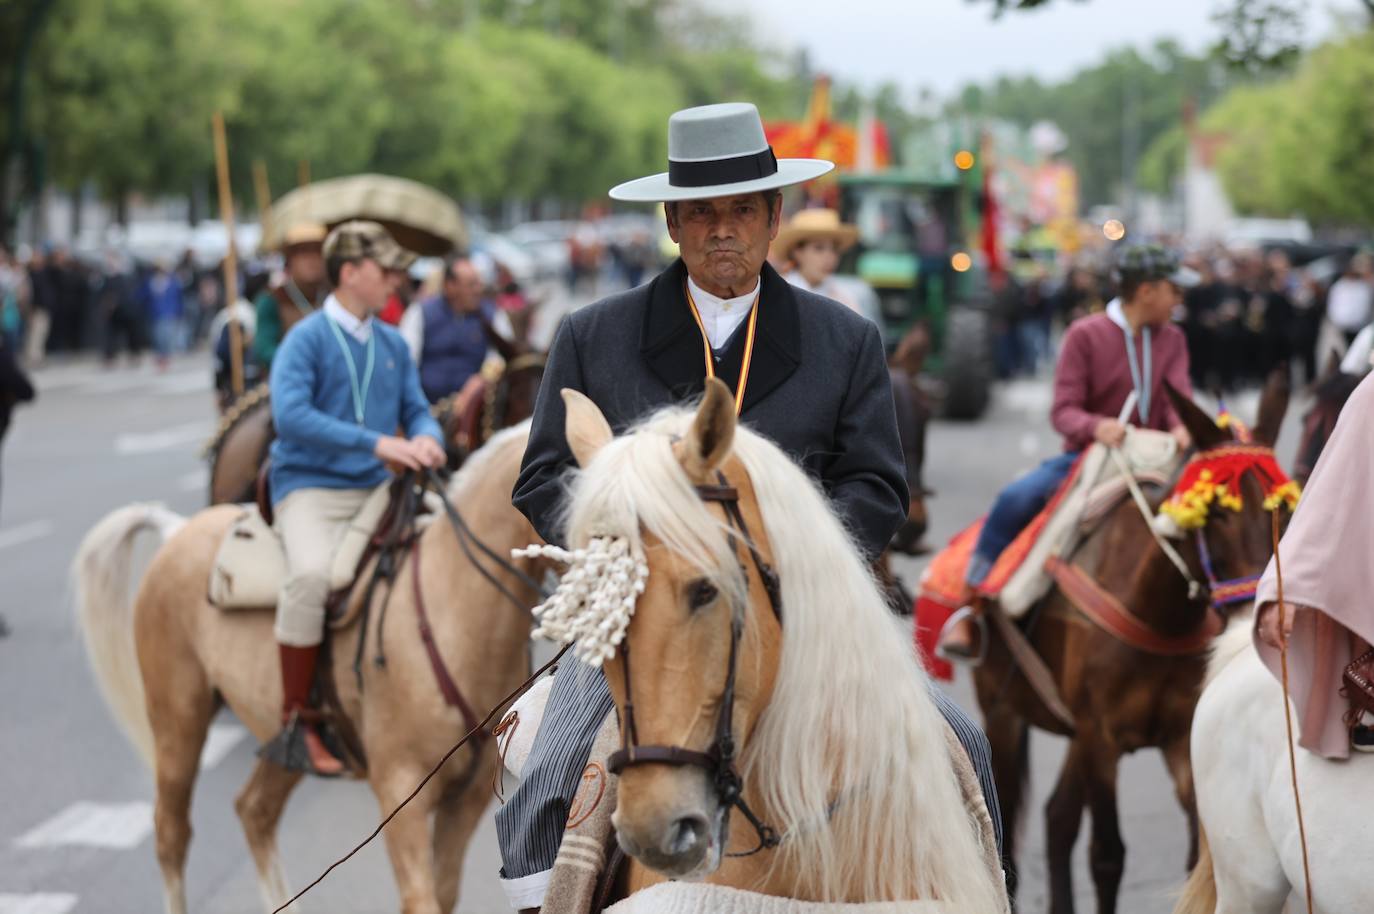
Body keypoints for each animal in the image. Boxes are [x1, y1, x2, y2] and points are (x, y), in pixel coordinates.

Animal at [73, 426, 546, 912]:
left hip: (279, 739)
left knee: (255, 810)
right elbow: (422, 899)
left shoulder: (465, 803)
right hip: (178, 724)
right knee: (172, 833)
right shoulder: (401, 794)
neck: (448, 608)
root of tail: (176, 531)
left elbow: (445, 893)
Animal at [972, 373, 1291, 912]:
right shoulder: (1100, 737)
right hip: (1003, 712)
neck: (1157, 612)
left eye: (1282, 511)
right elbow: (1107, 855)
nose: (1254, 617)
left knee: (1058, 818)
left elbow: (1193, 853)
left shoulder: (1177, 738)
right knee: (1011, 832)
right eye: (1216, 514)